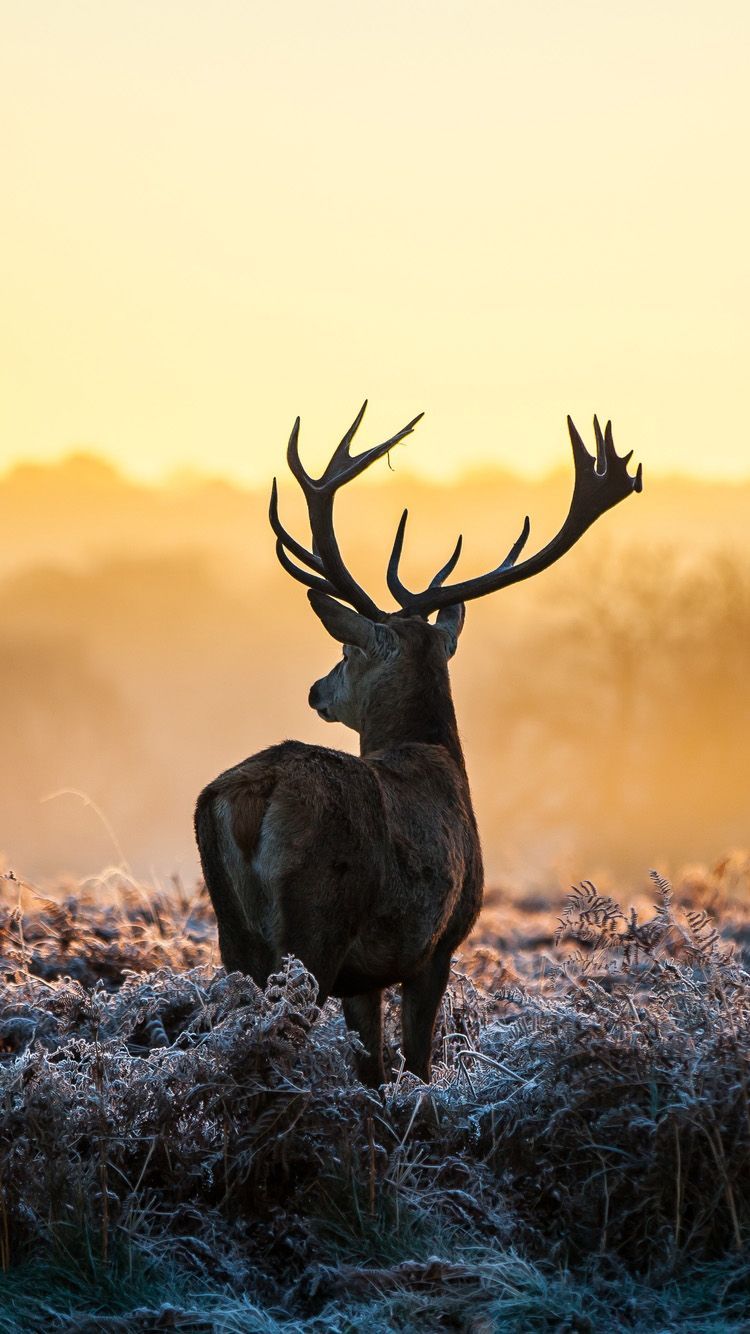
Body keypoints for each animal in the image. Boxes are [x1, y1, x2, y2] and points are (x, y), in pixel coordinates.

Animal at [194, 404, 641, 1086]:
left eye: (347, 649)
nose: (316, 689)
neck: (437, 756)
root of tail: (252, 796)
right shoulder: (437, 944)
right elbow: (418, 1064)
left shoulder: (366, 975)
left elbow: (373, 1068)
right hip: (316, 924)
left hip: (234, 935)